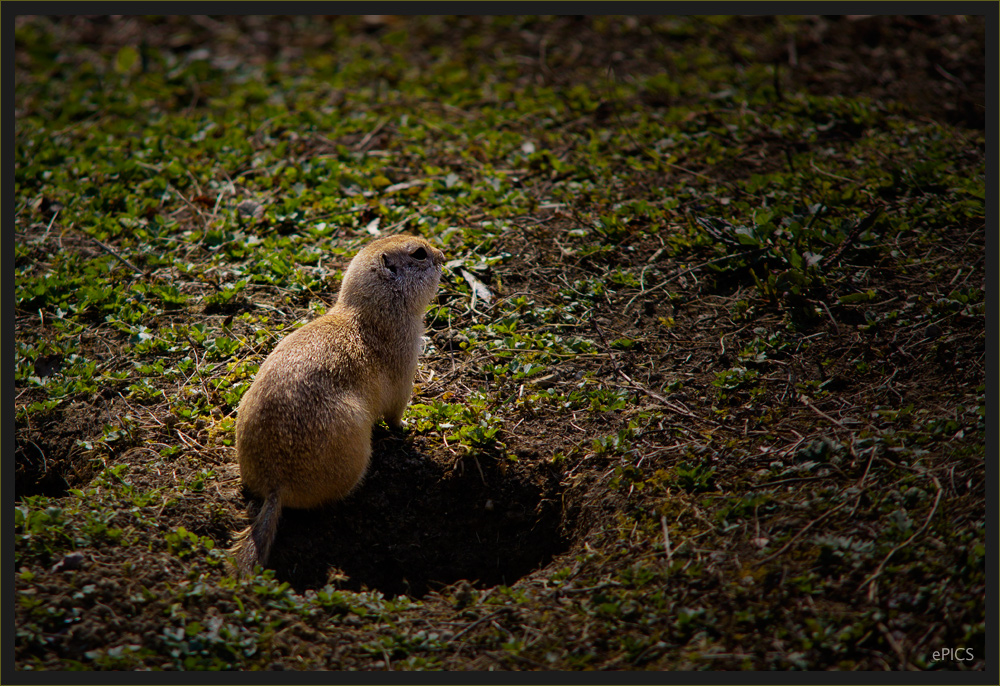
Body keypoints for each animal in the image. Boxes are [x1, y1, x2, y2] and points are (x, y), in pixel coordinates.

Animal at [232, 234, 444, 576]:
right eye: (419, 254)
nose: (443, 256)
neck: (373, 310)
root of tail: (276, 486)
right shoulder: (404, 370)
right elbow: (395, 413)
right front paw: (408, 426)